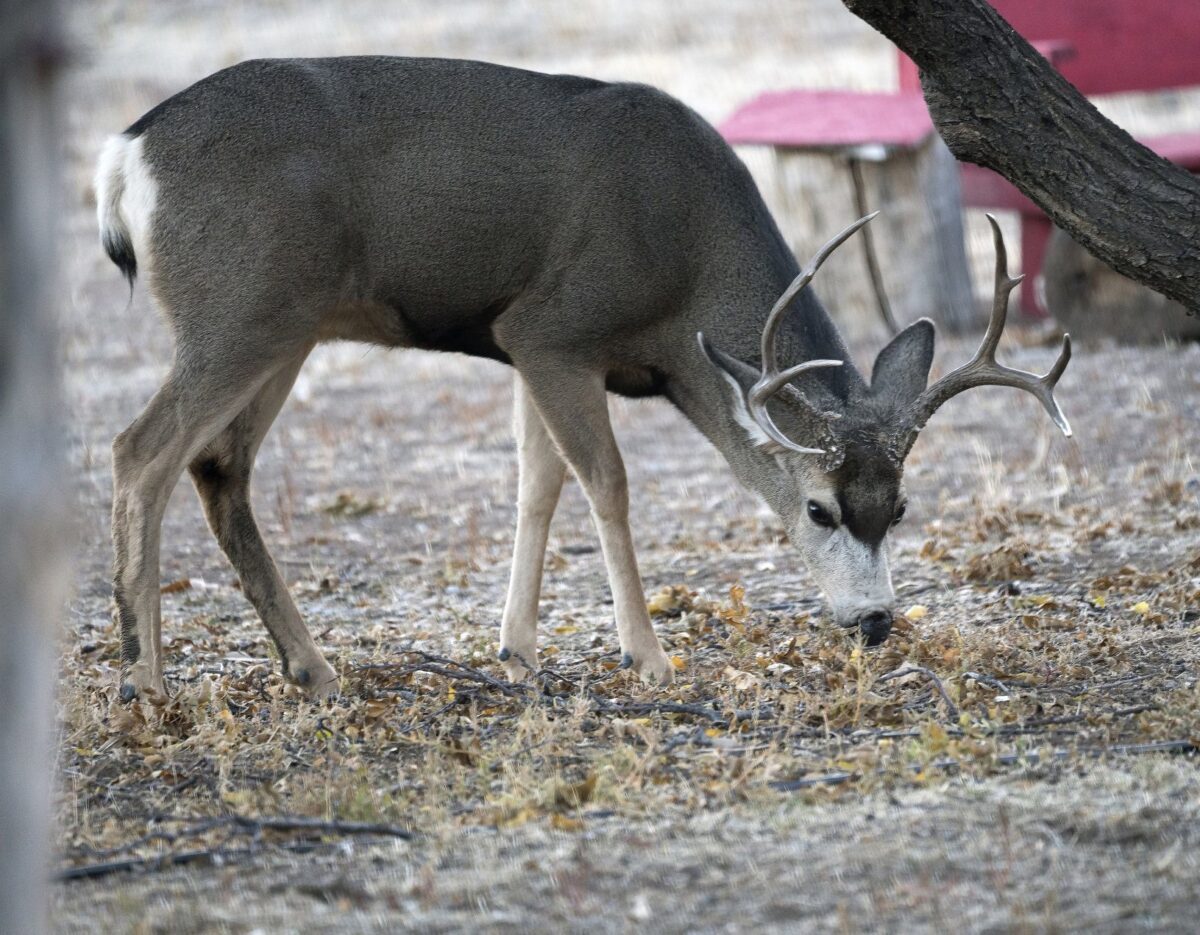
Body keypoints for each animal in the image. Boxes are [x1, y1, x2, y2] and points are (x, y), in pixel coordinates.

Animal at [95, 56, 1071, 702]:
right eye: (820, 508)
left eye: (899, 507)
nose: (874, 621)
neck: (685, 277)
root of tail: (124, 156)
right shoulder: (551, 328)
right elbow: (605, 480)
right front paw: (647, 654)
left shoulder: (530, 351)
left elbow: (538, 482)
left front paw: (516, 650)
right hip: (240, 309)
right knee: (139, 449)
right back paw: (144, 678)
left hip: (286, 324)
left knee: (218, 466)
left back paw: (313, 668)